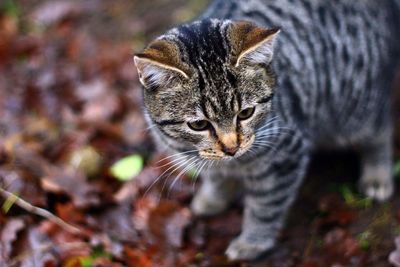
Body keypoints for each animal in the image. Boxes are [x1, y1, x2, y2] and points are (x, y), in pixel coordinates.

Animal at [134, 0, 400, 262]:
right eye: (199, 125)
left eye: (246, 113)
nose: (231, 148)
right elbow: (216, 178)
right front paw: (211, 199)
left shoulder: (285, 157)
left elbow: (265, 207)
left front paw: (252, 242)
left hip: (355, 105)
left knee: (379, 128)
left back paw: (377, 174)